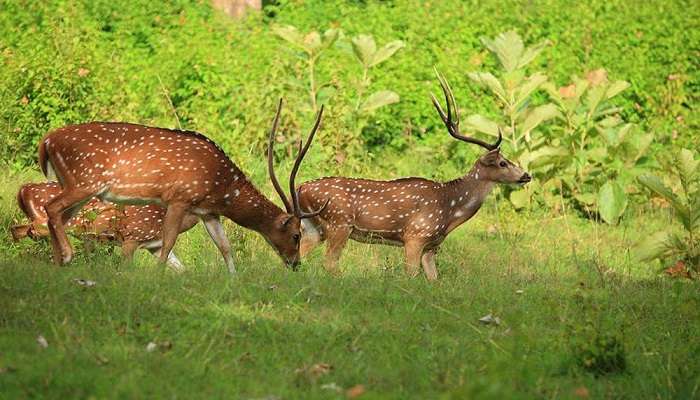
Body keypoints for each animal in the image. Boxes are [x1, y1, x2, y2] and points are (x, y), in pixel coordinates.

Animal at [10, 180, 197, 268]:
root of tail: (23, 189)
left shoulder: (154, 245)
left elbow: (181, 269)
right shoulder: (132, 236)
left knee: (16, 229)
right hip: (42, 222)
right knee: (20, 230)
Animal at [35, 99, 326, 272]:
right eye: (297, 235)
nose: (296, 264)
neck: (223, 186)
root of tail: (46, 142)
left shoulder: (207, 212)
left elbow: (225, 247)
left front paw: (234, 280)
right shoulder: (179, 198)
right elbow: (168, 242)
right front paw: (157, 277)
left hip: (77, 186)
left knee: (57, 217)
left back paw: (58, 264)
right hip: (84, 181)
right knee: (52, 208)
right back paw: (67, 256)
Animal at [296, 73, 532, 282]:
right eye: (502, 162)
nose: (526, 175)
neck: (450, 210)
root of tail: (300, 189)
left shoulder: (432, 246)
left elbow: (434, 280)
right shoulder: (415, 235)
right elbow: (411, 274)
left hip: (313, 228)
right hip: (339, 223)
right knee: (329, 262)